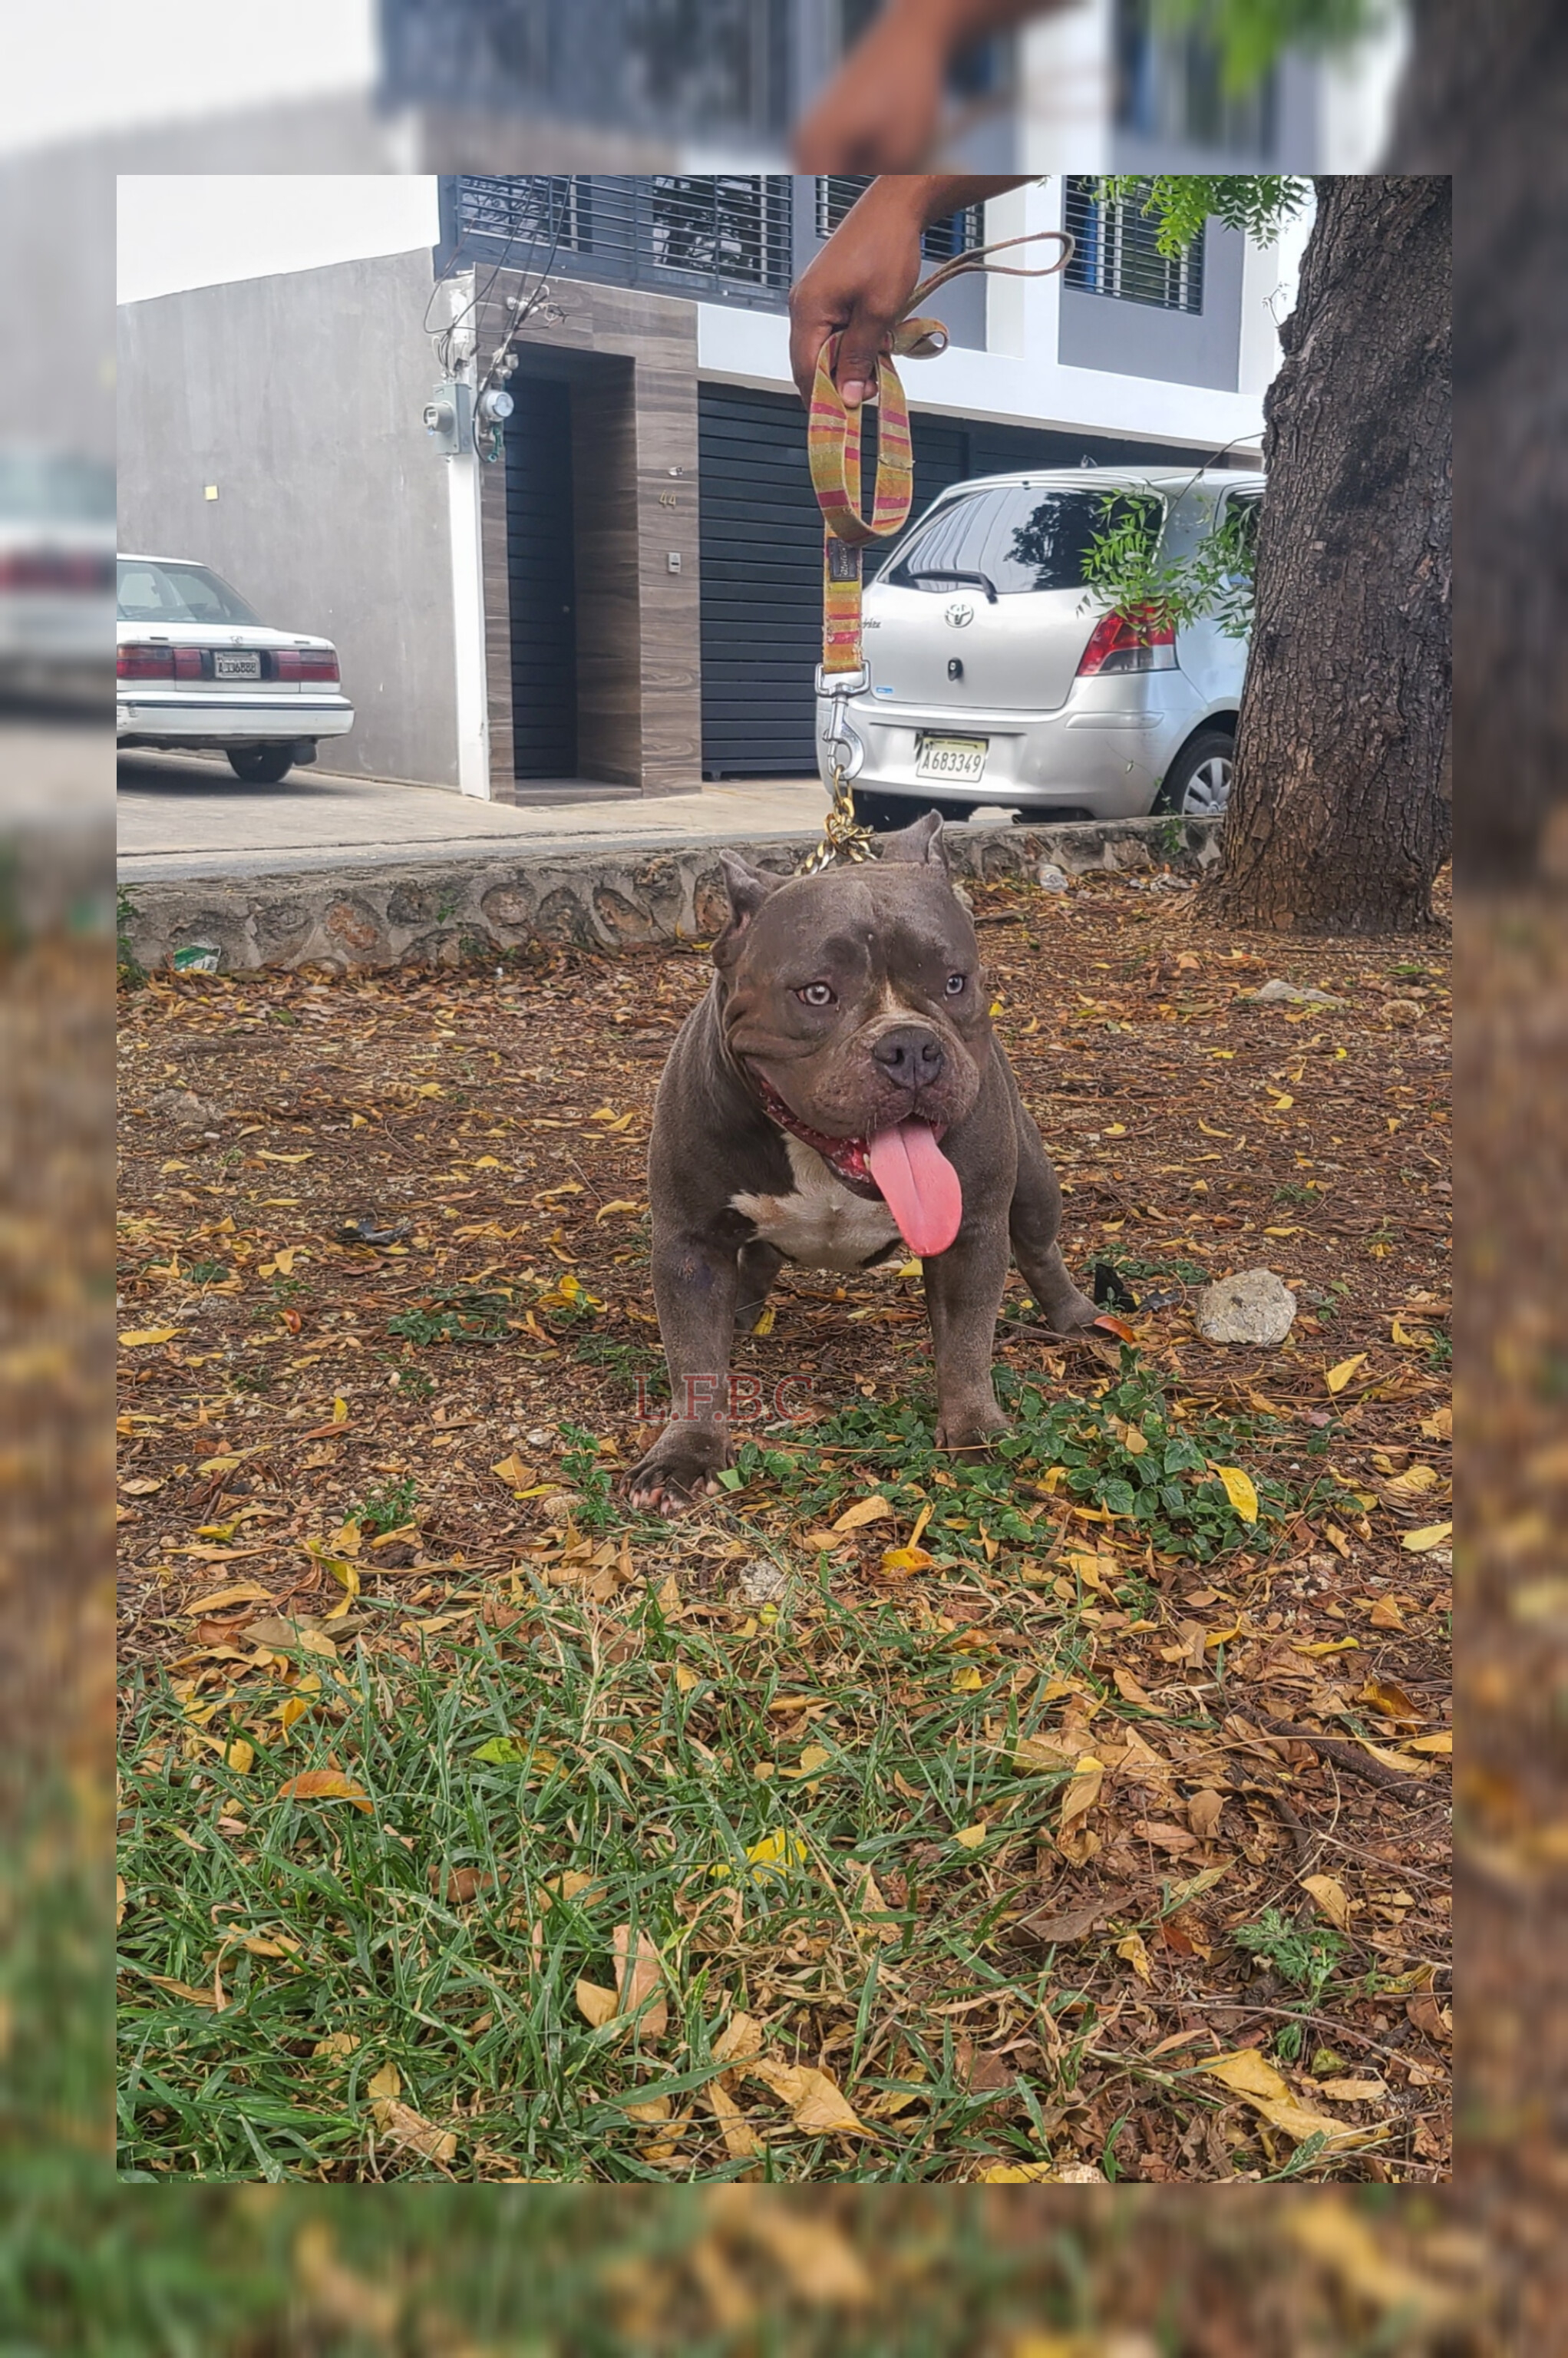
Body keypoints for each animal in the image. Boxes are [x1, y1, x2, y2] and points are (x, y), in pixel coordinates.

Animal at [622, 811, 1089, 1509]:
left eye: (954, 982)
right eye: (816, 994)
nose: (911, 1047)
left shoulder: (971, 1231)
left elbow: (966, 1344)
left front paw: (975, 1430)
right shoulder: (690, 1245)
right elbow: (695, 1358)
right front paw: (687, 1452)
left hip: (1033, 1186)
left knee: (1038, 1249)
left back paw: (1077, 1317)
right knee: (756, 1261)